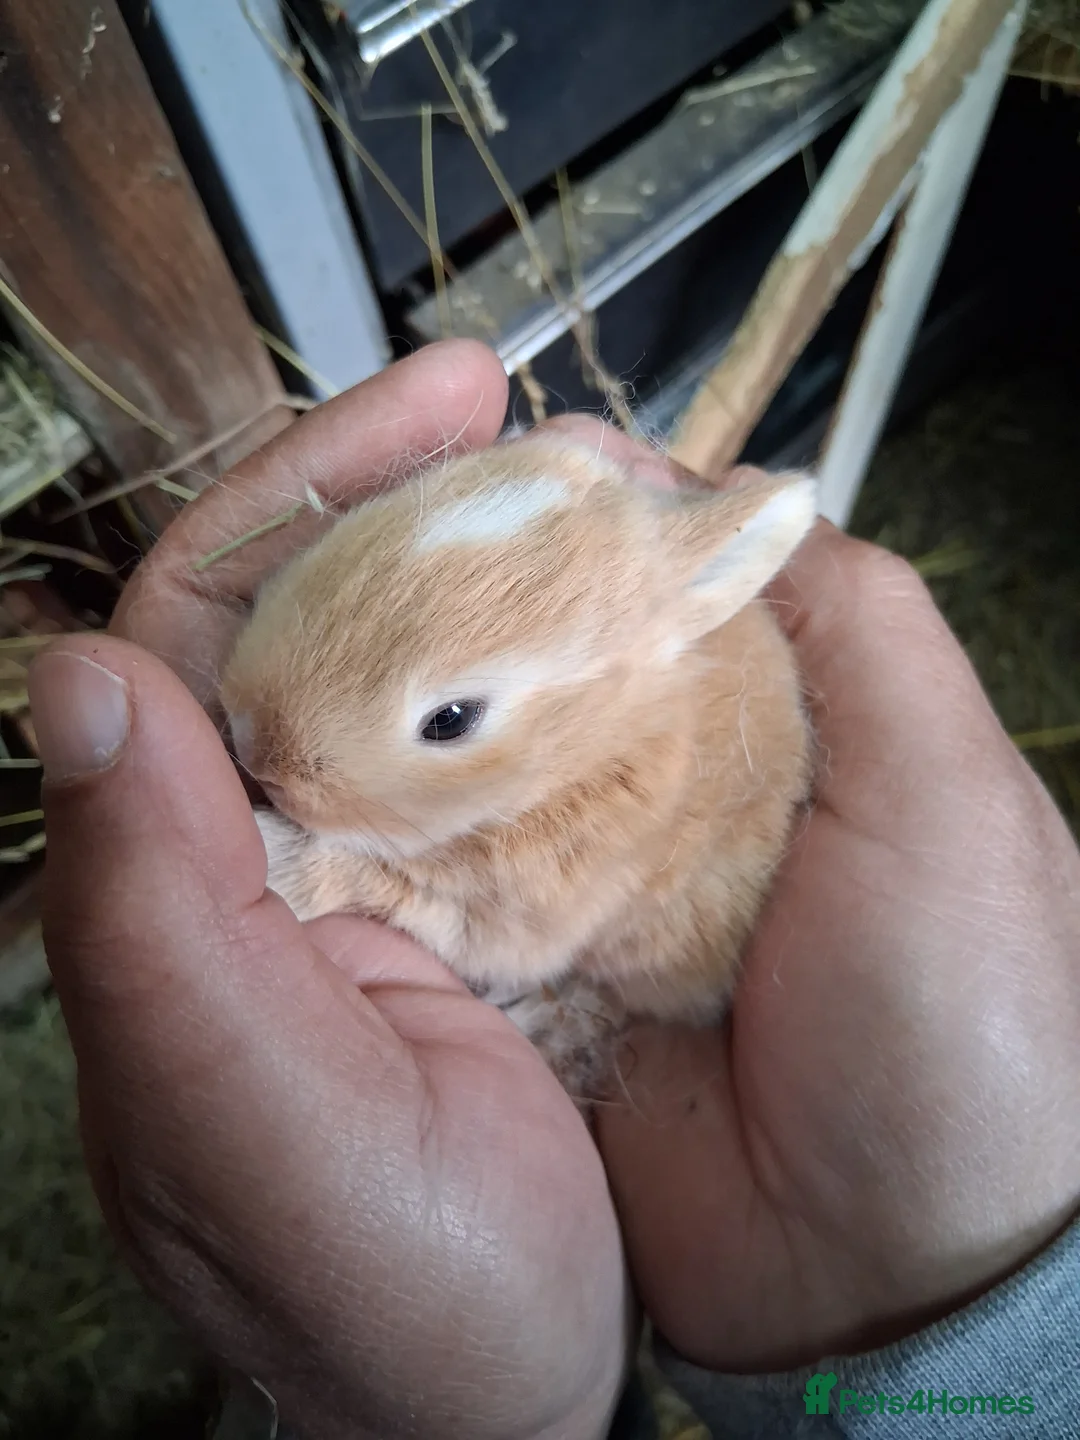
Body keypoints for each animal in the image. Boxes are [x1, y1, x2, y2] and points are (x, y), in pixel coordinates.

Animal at [219, 434, 817, 1101]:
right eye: (358, 526)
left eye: (451, 720)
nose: (251, 744)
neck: (586, 750)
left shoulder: (520, 917)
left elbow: (370, 881)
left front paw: (275, 858)